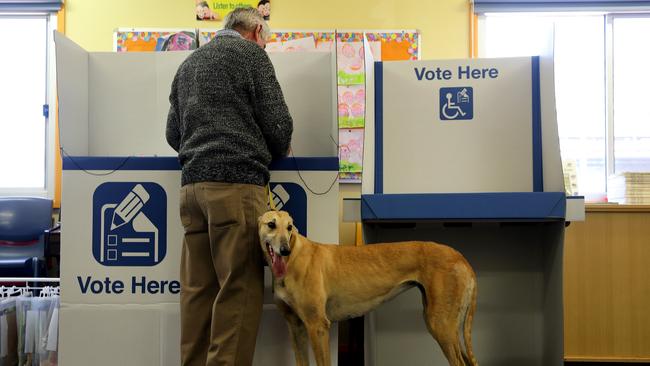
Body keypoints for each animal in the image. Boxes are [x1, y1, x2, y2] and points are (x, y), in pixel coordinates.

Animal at [256, 209, 476, 366]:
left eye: (290, 227)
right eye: (271, 224)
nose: (284, 250)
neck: (293, 258)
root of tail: (461, 257)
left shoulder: (318, 326)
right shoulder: (296, 327)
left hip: (440, 323)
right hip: (445, 324)